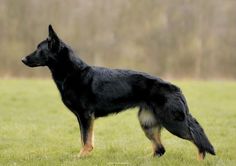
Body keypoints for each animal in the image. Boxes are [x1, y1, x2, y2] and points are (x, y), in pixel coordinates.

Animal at [22, 25, 216, 159]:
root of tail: (176, 88)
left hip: (173, 123)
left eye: (39, 49)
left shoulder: (86, 116)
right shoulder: (83, 118)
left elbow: (86, 140)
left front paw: (81, 157)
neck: (72, 73)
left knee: (197, 140)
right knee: (160, 150)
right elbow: (85, 138)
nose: (22, 59)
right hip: (147, 123)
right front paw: (85, 155)